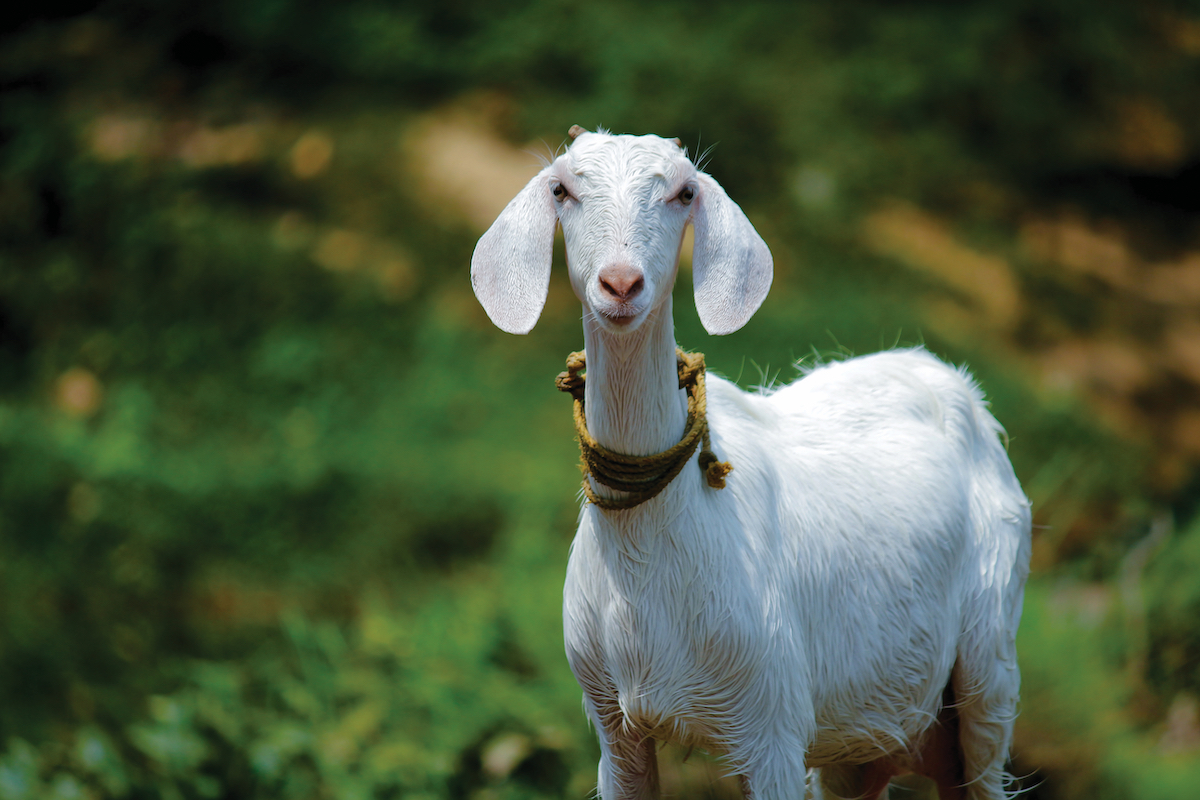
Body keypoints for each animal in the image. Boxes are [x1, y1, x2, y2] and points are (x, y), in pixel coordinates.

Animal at [468, 128, 1032, 796]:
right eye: (561, 188)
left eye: (684, 192)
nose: (621, 284)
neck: (653, 551)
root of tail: (949, 377)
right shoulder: (613, 724)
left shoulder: (772, 725)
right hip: (866, 736)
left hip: (989, 666)